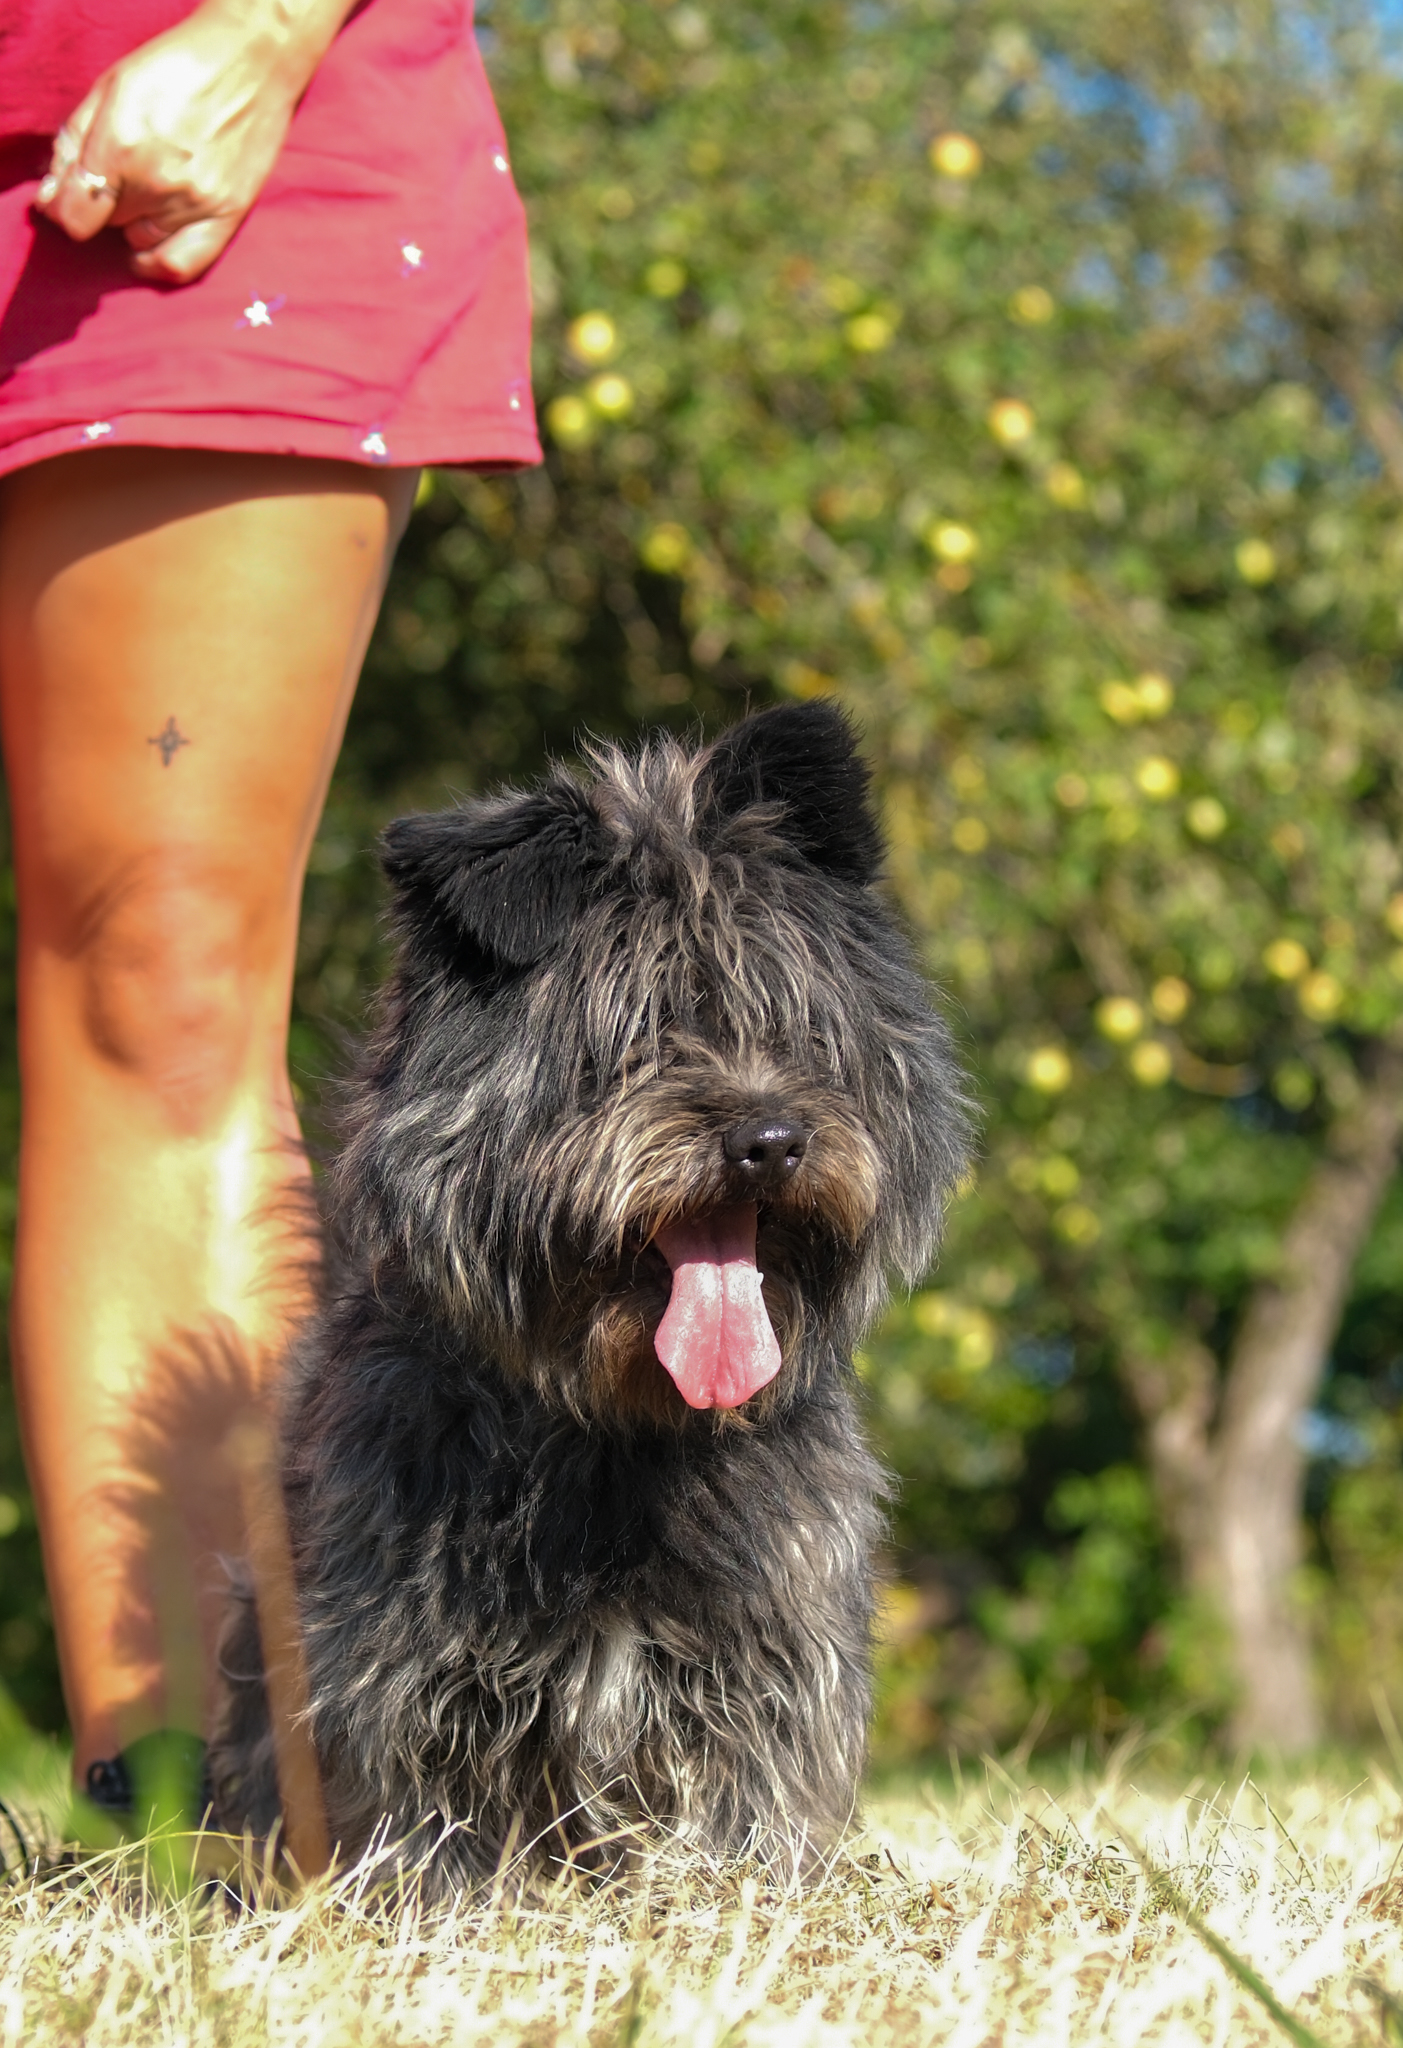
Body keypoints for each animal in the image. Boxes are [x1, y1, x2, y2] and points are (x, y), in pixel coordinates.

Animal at [210, 702, 971, 1888]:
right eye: (633, 1032)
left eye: (796, 1025)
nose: (769, 1139)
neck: (616, 1426)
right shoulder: (396, 1665)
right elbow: (425, 1819)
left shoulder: (772, 1647)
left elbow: (751, 1802)